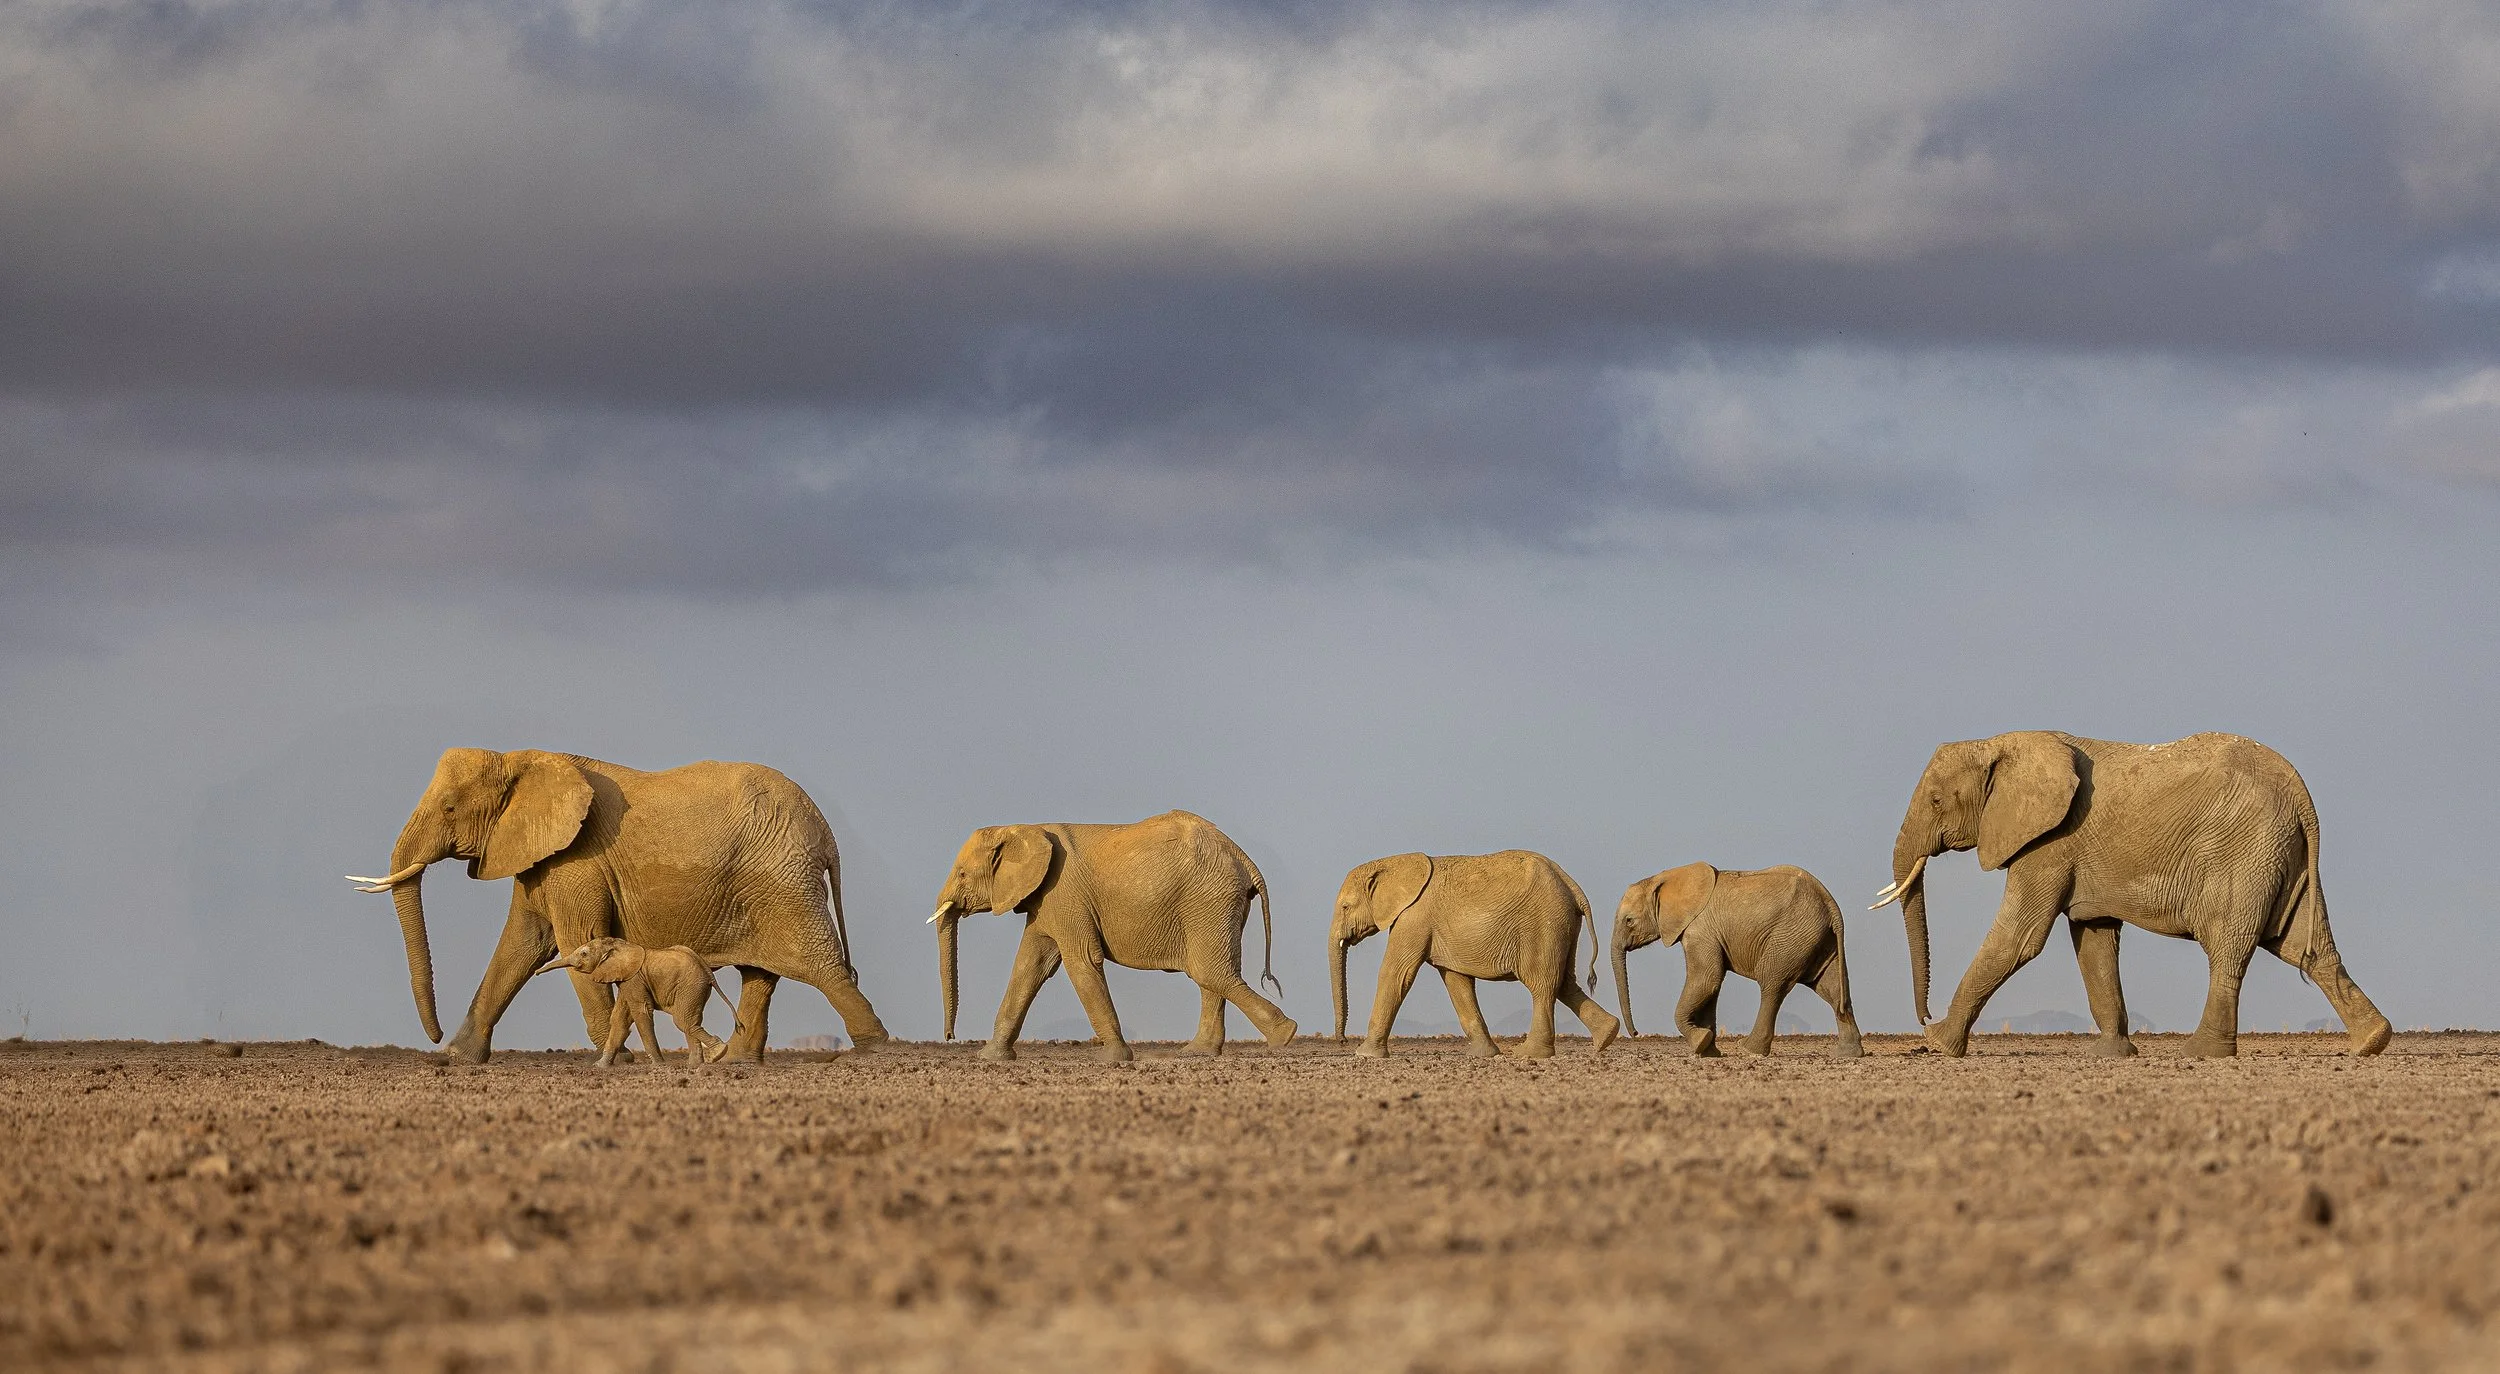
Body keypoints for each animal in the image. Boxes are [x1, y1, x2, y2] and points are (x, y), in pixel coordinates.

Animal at [534, 938, 739, 1068]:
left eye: (584, 953)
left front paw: (658, 1064)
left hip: (691, 987)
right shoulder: (626, 979)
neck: (620, 945)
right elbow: (619, 1019)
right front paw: (600, 1066)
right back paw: (695, 1065)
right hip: (693, 989)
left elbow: (641, 1012)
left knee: (682, 1021)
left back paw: (718, 1053)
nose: (536, 972)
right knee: (689, 1022)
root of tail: (707, 971)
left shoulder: (634, 979)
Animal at [930, 810, 1295, 1063]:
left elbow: (1080, 962)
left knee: (1211, 972)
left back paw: (1285, 1036)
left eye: (962, 875)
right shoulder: (1046, 900)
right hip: (1216, 903)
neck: (1024, 827)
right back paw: (1198, 1052)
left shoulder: (1065, 895)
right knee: (1212, 974)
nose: (949, 1036)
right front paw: (990, 1058)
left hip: (1209, 899)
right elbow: (1030, 966)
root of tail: (1243, 857)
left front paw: (1115, 1060)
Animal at [1329, 850, 1619, 1059]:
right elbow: (1457, 982)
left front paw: (1365, 1055)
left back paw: (1530, 1054)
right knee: (1565, 983)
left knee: (1542, 985)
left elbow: (1396, 973)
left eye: (1345, 907)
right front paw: (1485, 1055)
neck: (1394, 863)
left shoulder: (1414, 917)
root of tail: (1573, 887)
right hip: (1564, 925)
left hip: (1543, 925)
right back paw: (1607, 1036)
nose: (1342, 1041)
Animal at [1612, 863, 1863, 1059]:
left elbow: (1707, 978)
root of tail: (1831, 906)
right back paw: (1847, 1054)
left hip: (1792, 936)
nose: (1636, 1034)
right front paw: (1709, 1052)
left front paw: (1701, 1041)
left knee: (1772, 985)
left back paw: (1749, 1049)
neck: (1665, 877)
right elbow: (1711, 986)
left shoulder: (1700, 929)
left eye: (1629, 921)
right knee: (1832, 989)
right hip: (1818, 939)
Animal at [1872, 731, 2391, 1059]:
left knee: (2229, 945)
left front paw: (1939, 1044)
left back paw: (2201, 1053)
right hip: (2284, 853)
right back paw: (2372, 1043)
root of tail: (2302, 795)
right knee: (2305, 947)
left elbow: (2019, 938)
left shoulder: (2049, 842)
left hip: (2245, 851)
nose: (1923, 1016)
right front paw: (2111, 1054)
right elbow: (2094, 941)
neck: (2000, 741)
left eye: (1937, 800)